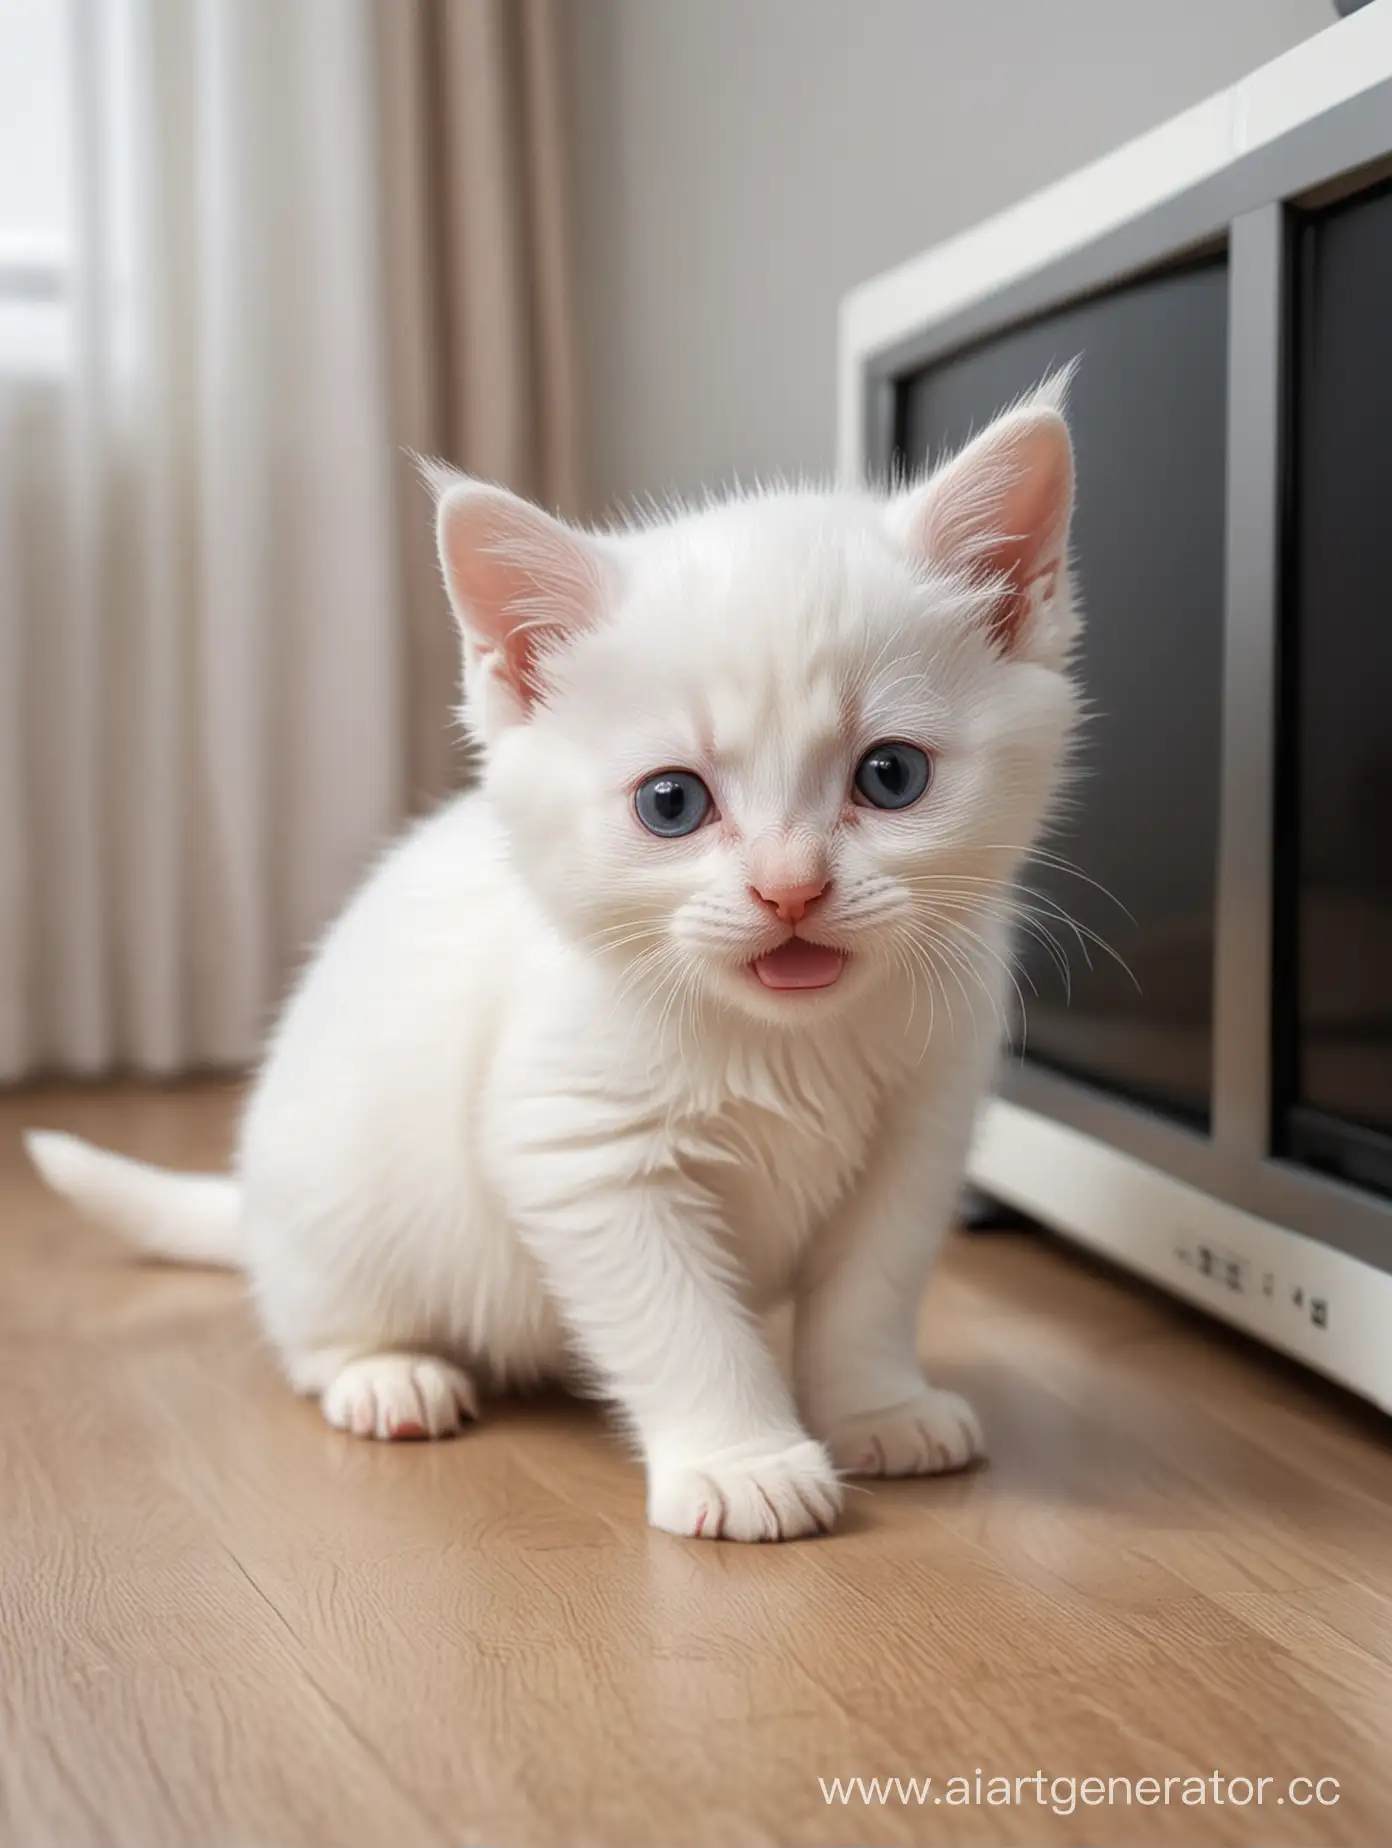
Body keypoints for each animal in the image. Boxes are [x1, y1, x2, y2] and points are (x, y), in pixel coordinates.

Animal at [27, 386, 1079, 1544]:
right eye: (672, 802)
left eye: (891, 776)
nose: (790, 888)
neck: (780, 1039)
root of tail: (253, 1208)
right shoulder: (578, 1147)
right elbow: (679, 1319)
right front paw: (742, 1460)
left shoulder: (922, 1131)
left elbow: (871, 1290)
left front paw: (876, 1407)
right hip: (327, 1194)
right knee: (312, 1326)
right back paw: (384, 1374)